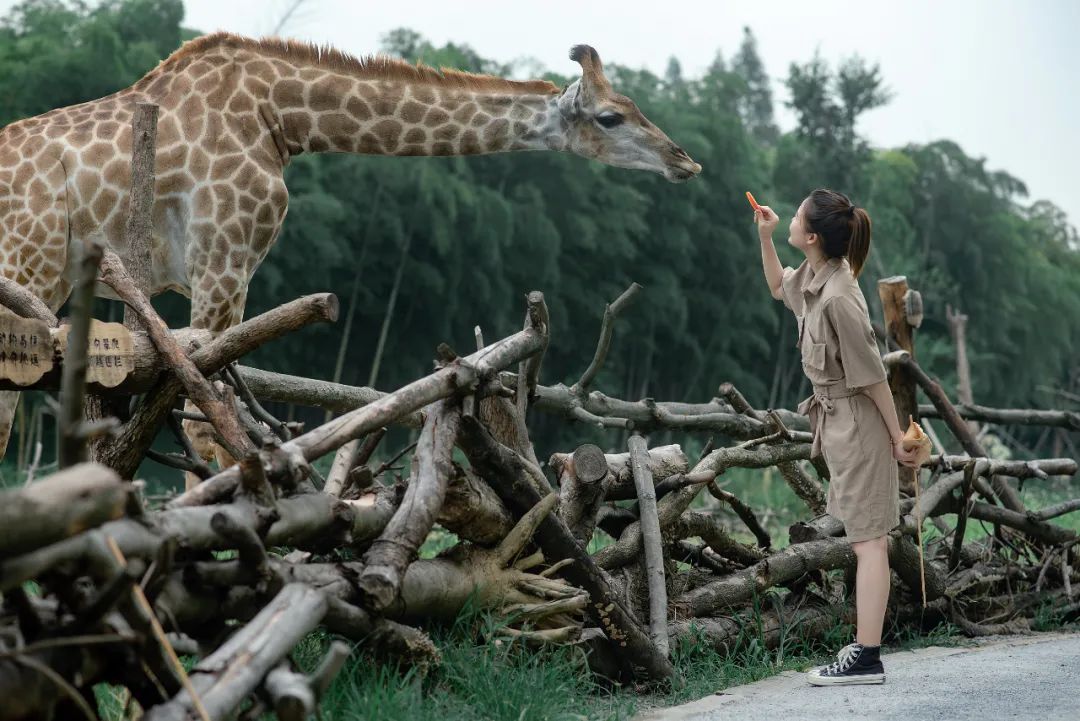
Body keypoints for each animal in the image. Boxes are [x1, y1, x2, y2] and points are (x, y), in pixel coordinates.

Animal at [0, 32, 699, 472]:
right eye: (610, 117)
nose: (684, 162)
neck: (283, 116)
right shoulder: (223, 258)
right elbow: (207, 416)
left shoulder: (187, 278)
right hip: (29, 260)